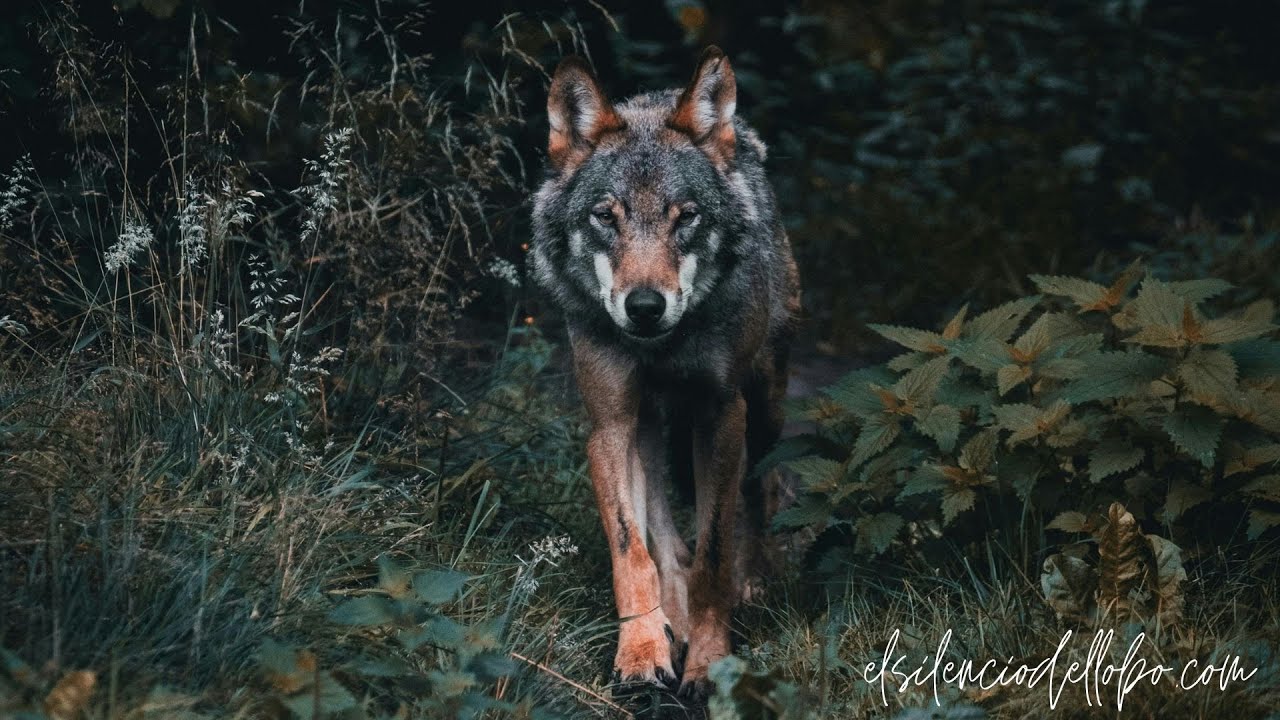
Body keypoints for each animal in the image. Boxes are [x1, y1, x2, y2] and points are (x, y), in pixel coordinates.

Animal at [530, 47, 800, 697]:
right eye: (606, 217)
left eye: (687, 218)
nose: (646, 306)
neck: (661, 347)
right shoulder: (609, 425)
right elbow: (634, 552)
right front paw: (641, 651)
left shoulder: (721, 415)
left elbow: (714, 552)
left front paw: (709, 660)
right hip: (648, 428)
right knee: (664, 536)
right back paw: (671, 620)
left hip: (766, 407)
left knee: (761, 490)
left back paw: (752, 584)